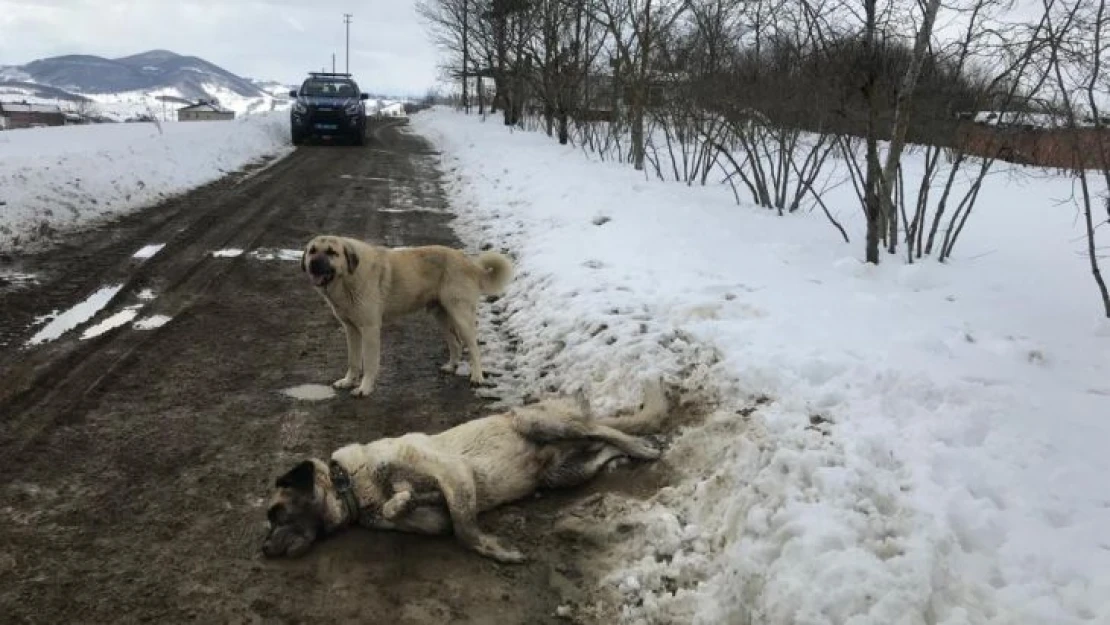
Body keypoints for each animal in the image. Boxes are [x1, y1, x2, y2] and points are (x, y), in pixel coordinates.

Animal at [301, 235, 512, 395]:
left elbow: (369, 363)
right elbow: (353, 361)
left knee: (474, 348)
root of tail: (469, 262)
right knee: (456, 343)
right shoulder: (351, 329)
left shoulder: (370, 330)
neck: (347, 279)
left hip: (460, 316)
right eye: (312, 251)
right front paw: (348, 381)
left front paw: (364, 388)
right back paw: (451, 366)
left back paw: (477, 377)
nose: (314, 264)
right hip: (441, 316)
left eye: (331, 252)